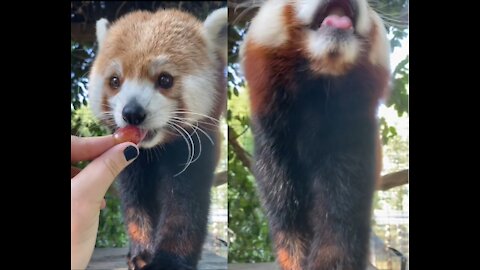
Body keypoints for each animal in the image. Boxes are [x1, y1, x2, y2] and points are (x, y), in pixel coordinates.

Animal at [87, 7, 227, 268]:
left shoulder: (197, 148)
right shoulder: (132, 162)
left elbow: (184, 203)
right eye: (115, 81)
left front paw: (169, 260)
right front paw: (141, 253)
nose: (132, 113)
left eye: (165, 79)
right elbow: (135, 203)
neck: (157, 148)